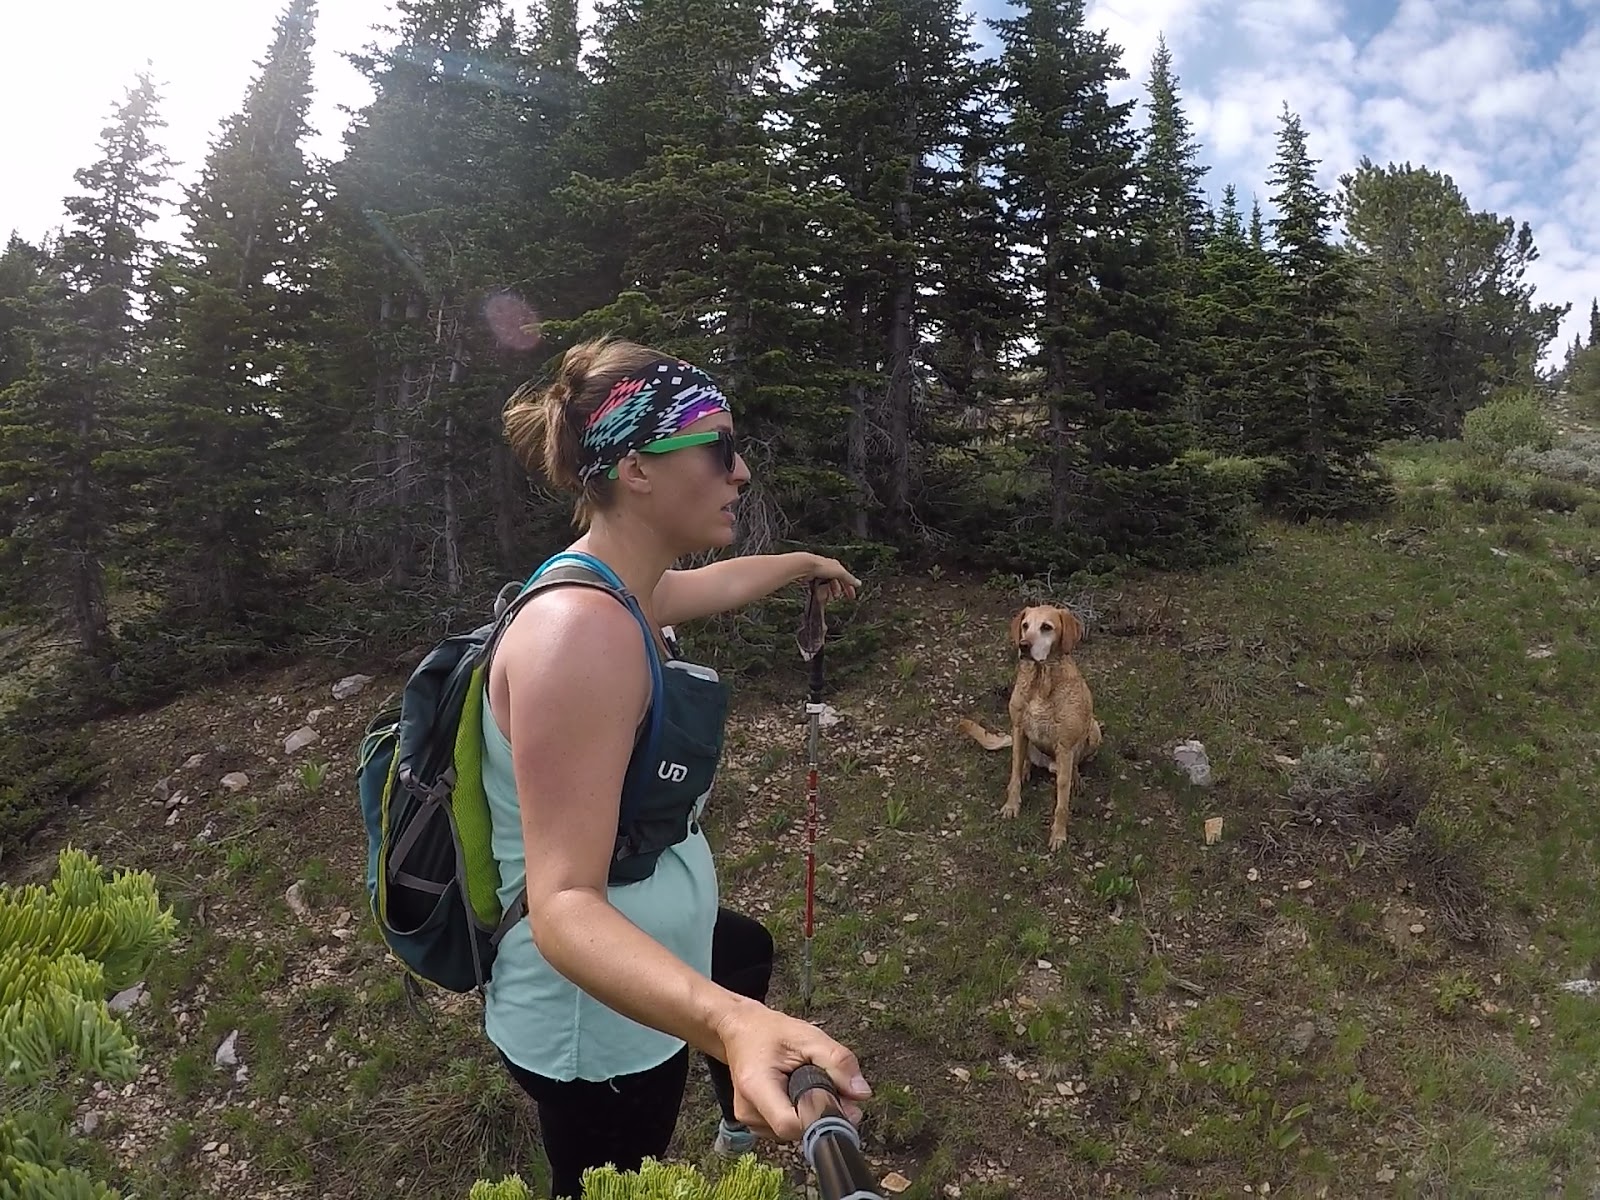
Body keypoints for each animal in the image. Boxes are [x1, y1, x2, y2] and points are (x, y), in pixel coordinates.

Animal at [960, 604, 1100, 851]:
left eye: (1047, 627)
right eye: (1025, 625)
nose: (1023, 645)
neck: (1040, 680)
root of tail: (1049, 764)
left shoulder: (1065, 746)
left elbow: (1061, 802)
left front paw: (1058, 835)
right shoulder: (1018, 728)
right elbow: (1014, 774)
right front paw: (1011, 806)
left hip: (1094, 730)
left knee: (1075, 764)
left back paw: (1076, 778)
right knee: (1024, 759)